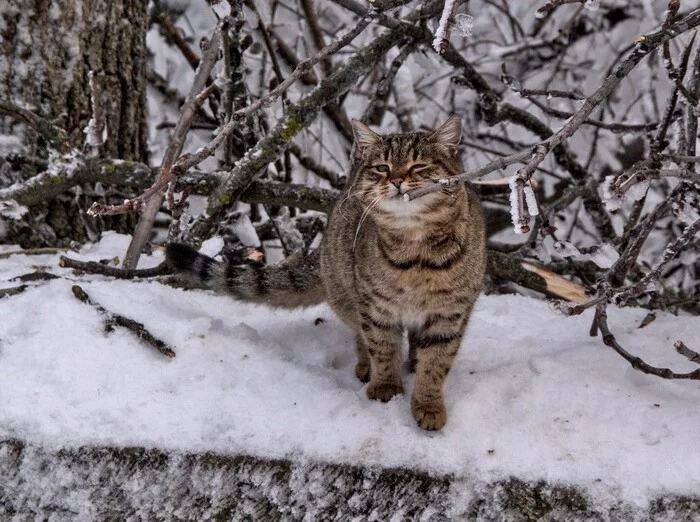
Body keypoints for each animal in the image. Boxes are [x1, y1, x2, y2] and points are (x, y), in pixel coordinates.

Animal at [168, 116, 486, 428]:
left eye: (417, 166)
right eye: (382, 168)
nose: (396, 180)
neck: (416, 253)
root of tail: (320, 252)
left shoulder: (450, 314)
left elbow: (436, 362)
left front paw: (428, 403)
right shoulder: (375, 308)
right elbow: (383, 348)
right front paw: (386, 387)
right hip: (347, 296)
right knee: (362, 336)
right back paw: (366, 366)